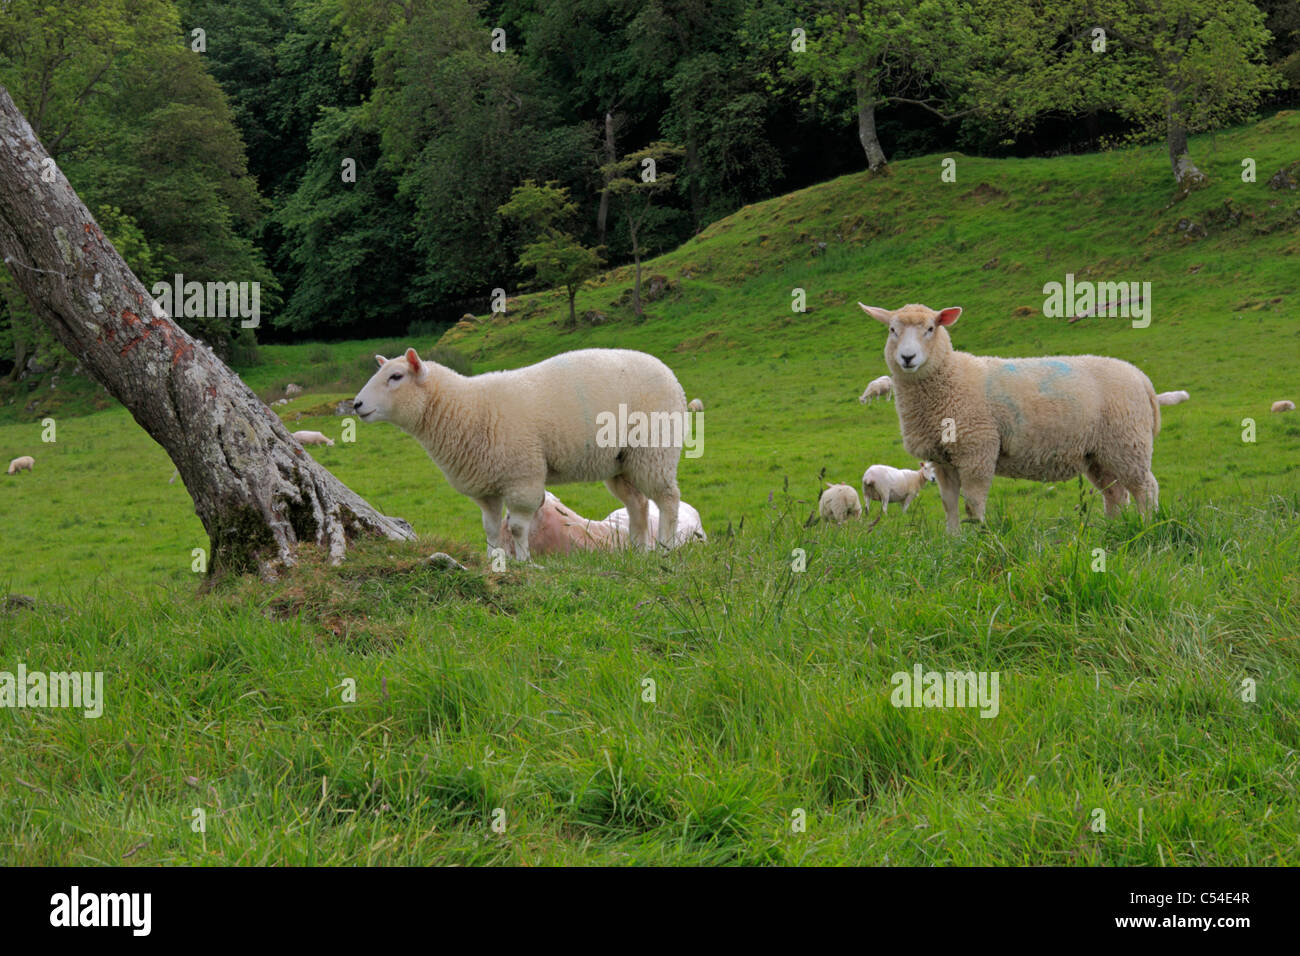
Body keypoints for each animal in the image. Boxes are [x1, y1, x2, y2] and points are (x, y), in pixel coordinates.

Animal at [345, 348, 691, 561]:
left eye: (396, 377)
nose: (357, 405)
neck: (465, 407)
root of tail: (668, 371)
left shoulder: (523, 476)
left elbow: (516, 527)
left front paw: (524, 561)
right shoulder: (485, 485)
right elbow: (490, 528)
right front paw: (493, 560)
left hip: (655, 450)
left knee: (668, 500)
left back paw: (665, 549)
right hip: (621, 461)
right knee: (638, 504)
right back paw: (639, 552)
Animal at [863, 303, 1159, 535]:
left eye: (930, 329)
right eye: (892, 330)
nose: (907, 357)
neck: (950, 377)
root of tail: (1140, 377)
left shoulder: (977, 450)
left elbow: (973, 502)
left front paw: (978, 537)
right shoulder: (942, 458)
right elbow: (949, 503)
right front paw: (953, 539)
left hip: (1127, 442)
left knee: (1145, 487)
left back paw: (1147, 525)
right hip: (1098, 454)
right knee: (1115, 494)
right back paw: (1112, 528)